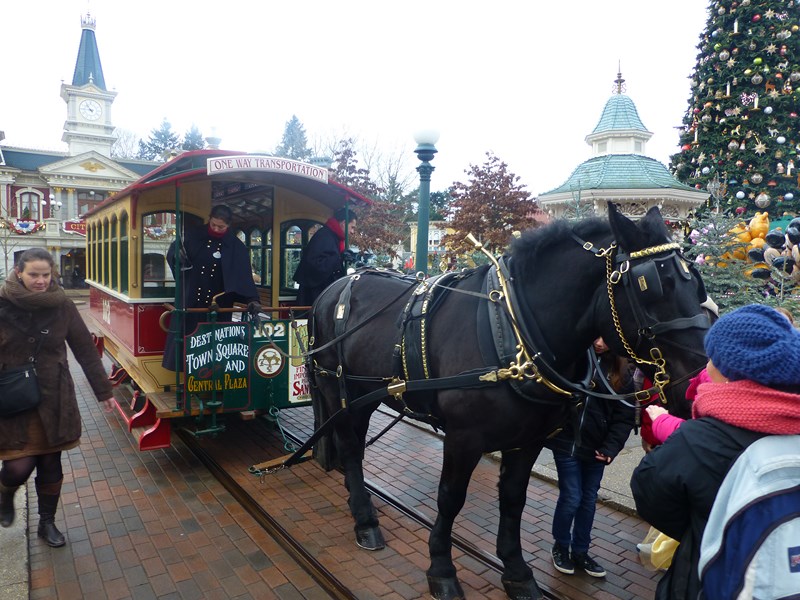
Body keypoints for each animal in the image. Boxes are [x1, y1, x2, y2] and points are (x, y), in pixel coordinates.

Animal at [304, 203, 708, 600]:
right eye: (652, 285)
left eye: (696, 283)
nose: (698, 380)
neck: (515, 332)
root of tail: (334, 288)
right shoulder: (463, 437)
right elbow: (451, 498)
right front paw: (442, 570)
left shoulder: (529, 440)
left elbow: (514, 499)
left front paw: (517, 572)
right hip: (337, 388)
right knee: (351, 446)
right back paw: (365, 520)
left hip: (363, 396)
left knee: (355, 443)